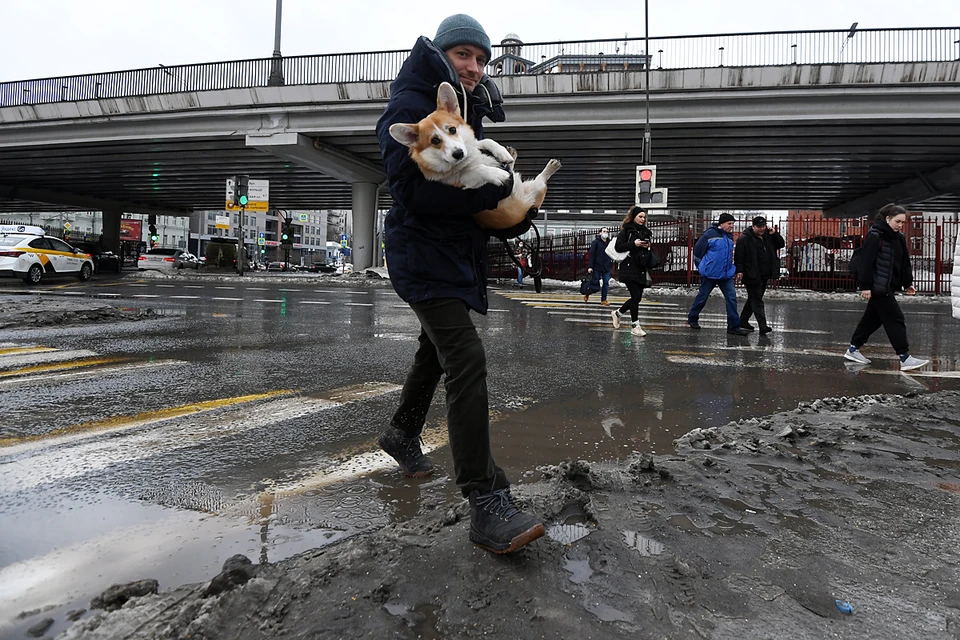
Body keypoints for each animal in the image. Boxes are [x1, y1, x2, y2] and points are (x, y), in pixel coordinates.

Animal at [386, 81, 560, 229]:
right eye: (435, 140)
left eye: (452, 129)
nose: (458, 153)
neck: (467, 159)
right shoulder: (464, 184)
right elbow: (477, 170)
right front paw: (496, 173)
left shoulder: (473, 145)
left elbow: (485, 141)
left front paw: (501, 152)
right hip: (537, 189)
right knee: (541, 180)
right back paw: (550, 167)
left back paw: (513, 156)